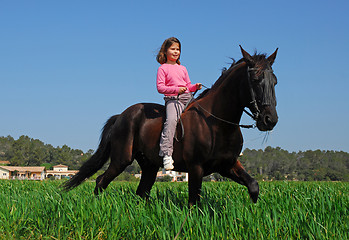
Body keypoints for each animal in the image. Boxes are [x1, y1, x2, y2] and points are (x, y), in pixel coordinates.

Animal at [64, 47, 278, 206]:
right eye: (256, 79)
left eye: (274, 81)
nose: (270, 120)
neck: (216, 124)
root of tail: (121, 116)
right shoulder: (196, 167)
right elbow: (194, 202)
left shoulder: (227, 164)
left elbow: (254, 186)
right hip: (121, 159)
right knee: (101, 181)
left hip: (149, 166)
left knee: (141, 192)